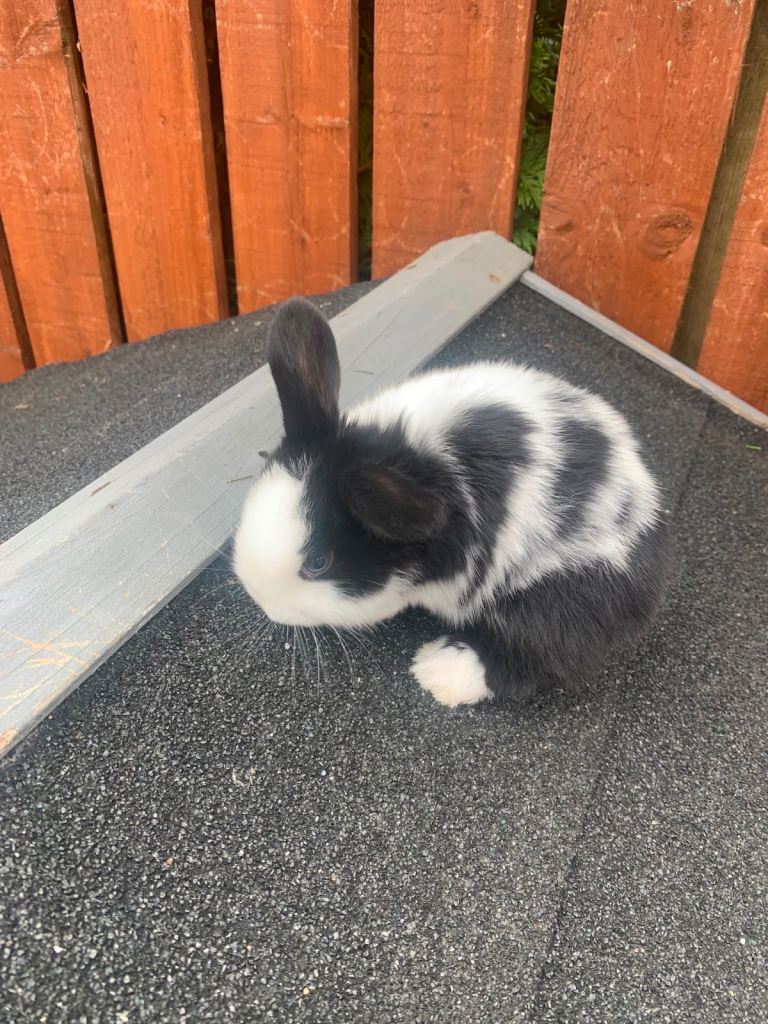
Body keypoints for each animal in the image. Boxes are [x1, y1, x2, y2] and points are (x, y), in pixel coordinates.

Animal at [233, 297, 672, 707]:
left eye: (318, 563)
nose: (263, 603)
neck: (403, 457)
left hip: (557, 594)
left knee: (538, 654)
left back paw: (437, 671)